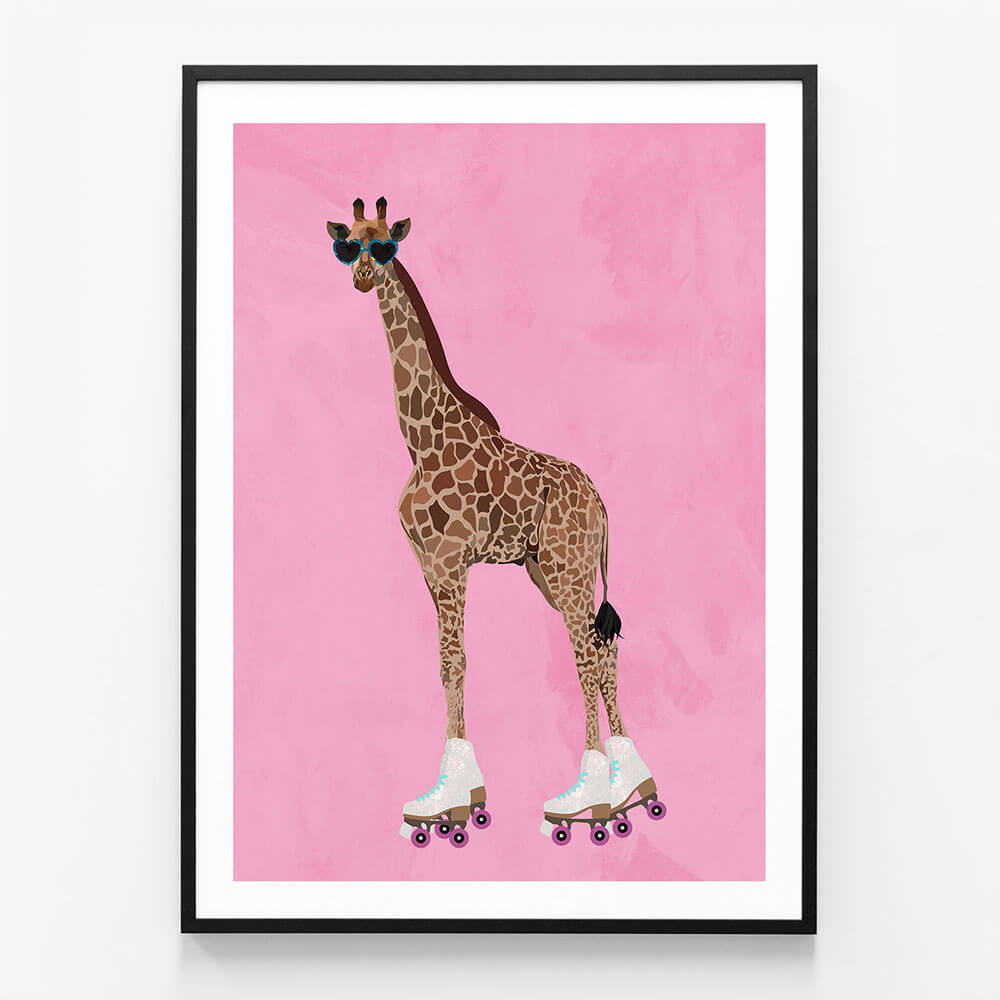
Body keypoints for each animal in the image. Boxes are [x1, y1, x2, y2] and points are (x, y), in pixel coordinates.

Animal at [326, 198, 664, 849]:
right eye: (347, 244)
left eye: (385, 247)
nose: (361, 277)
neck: (422, 439)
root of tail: (600, 501)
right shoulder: (429, 566)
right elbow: (444, 663)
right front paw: (444, 798)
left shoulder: (452, 559)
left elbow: (456, 661)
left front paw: (456, 804)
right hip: (548, 574)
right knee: (602, 649)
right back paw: (632, 788)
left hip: (568, 567)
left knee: (587, 655)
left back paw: (590, 803)